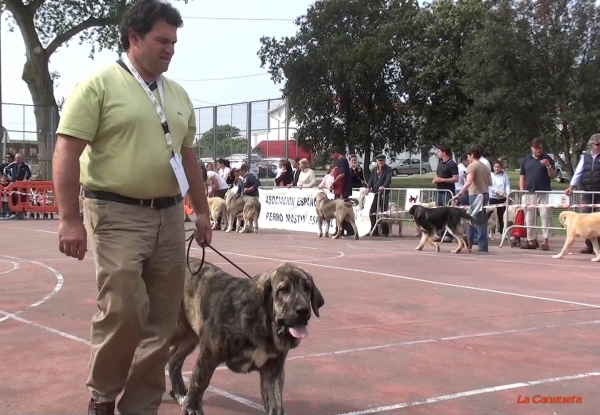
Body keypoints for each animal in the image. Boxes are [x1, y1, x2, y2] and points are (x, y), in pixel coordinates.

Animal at [166, 258, 326, 414]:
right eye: (283, 290)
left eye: (307, 288)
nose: (303, 310)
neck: (264, 325)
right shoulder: (209, 354)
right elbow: (199, 381)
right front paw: (192, 408)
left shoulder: (272, 369)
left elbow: (276, 401)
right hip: (176, 330)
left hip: (190, 337)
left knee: (174, 359)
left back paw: (179, 393)